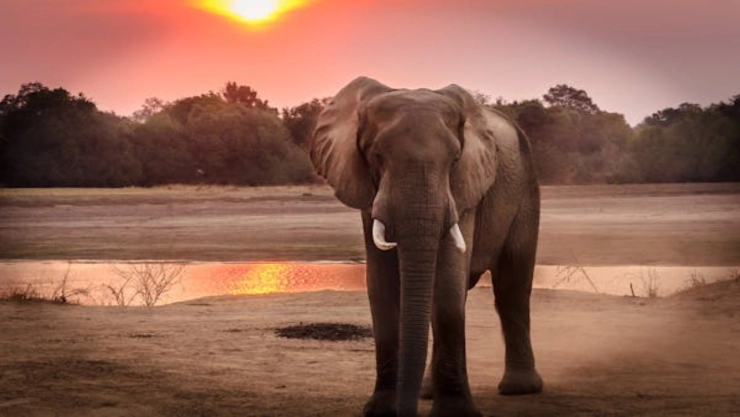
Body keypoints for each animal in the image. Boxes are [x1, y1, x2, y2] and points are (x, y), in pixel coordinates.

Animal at [309, 77, 542, 417]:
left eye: (455, 160)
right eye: (376, 155)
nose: (405, 411)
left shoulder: (464, 189)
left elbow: (447, 286)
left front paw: (455, 414)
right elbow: (382, 286)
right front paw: (381, 411)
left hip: (526, 189)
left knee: (512, 287)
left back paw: (519, 389)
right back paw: (428, 393)